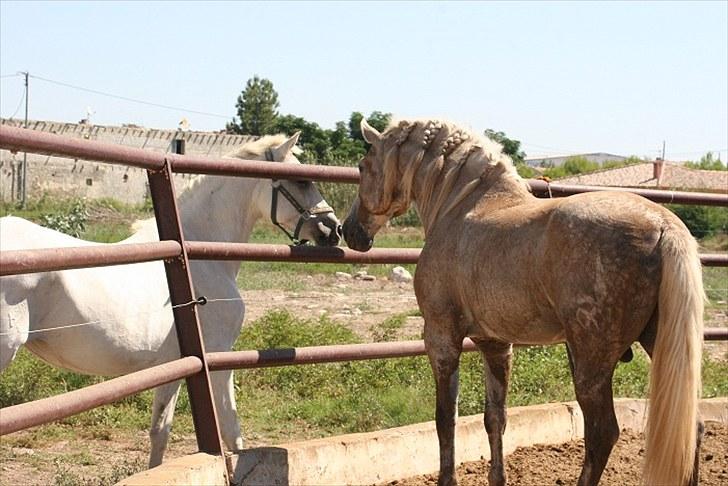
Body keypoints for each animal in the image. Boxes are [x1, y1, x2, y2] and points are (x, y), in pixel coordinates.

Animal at [0, 131, 342, 466]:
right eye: (301, 180)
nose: (333, 229)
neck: (195, 257)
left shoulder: (174, 364)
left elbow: (160, 431)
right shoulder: (217, 359)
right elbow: (232, 431)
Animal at [344, 118, 704, 486]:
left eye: (362, 166)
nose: (350, 232)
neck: (460, 207)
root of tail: (663, 225)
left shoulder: (442, 339)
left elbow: (445, 419)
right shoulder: (495, 344)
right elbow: (495, 418)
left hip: (591, 362)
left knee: (602, 433)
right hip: (658, 345)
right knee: (692, 428)